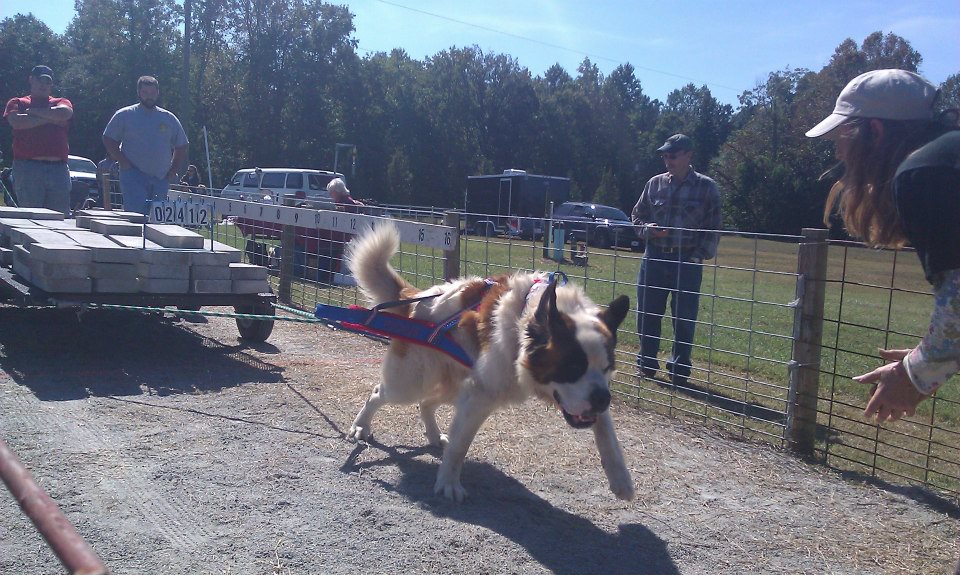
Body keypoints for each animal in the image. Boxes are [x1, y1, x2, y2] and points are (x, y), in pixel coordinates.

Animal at [342, 223, 632, 502]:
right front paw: (448, 483)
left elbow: (608, 432)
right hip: (411, 382)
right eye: (572, 368)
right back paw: (361, 426)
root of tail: (416, 298)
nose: (602, 398)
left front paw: (621, 479)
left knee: (426, 403)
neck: (523, 323)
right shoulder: (479, 396)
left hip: (453, 385)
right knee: (379, 393)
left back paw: (434, 436)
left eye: (608, 369)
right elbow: (460, 446)